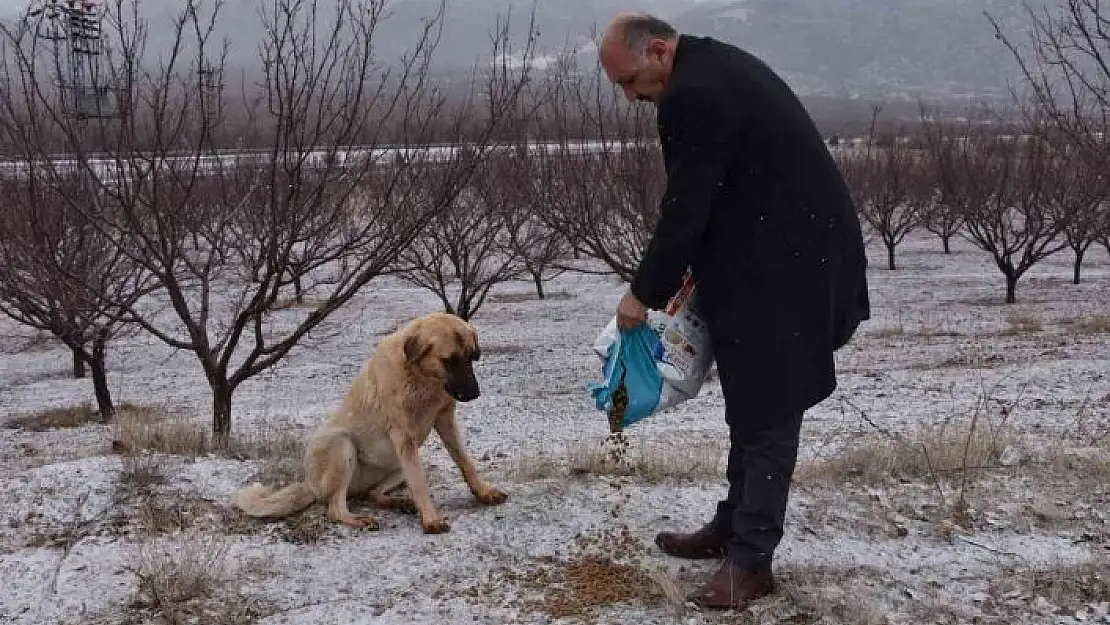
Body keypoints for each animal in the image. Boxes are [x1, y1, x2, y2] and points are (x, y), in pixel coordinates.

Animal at [236, 313, 508, 532]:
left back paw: (399, 502)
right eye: (449, 360)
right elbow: (420, 483)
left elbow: (465, 462)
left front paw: (483, 492)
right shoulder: (404, 437)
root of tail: (308, 484)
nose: (474, 393)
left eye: (471, 357)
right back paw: (359, 519)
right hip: (342, 444)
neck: (422, 379)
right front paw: (431, 520)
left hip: (399, 463)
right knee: (335, 507)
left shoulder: (444, 421)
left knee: (371, 493)